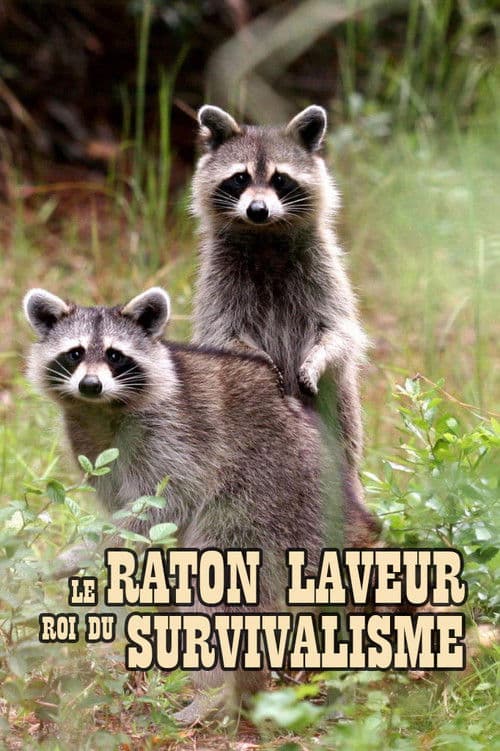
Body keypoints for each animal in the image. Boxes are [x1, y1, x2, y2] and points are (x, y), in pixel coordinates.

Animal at [23, 286, 324, 724]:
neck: (103, 408)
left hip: (264, 497)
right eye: (75, 353)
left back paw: (211, 693)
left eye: (115, 355)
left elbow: (167, 503)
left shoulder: (177, 431)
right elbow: (124, 506)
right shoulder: (90, 442)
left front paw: (92, 551)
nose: (91, 385)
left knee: (218, 594)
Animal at [191, 104, 379, 547]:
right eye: (239, 178)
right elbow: (223, 336)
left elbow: (339, 331)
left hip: (341, 416)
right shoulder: (218, 283)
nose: (257, 209)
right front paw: (260, 360)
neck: (265, 236)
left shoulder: (324, 271)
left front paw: (316, 359)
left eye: (280, 180)